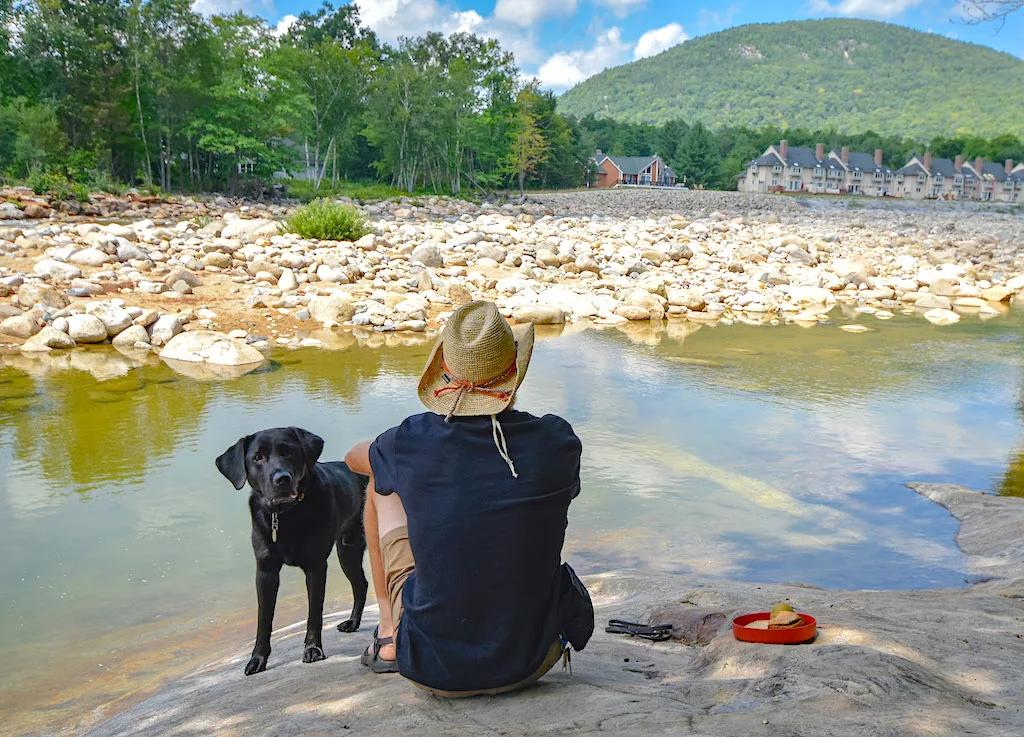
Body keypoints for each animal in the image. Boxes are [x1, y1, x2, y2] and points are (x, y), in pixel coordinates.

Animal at [215, 425, 368, 675]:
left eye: (289, 452)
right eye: (257, 457)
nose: (282, 479)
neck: (285, 515)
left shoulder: (316, 567)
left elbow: (314, 613)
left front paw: (313, 649)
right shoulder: (266, 572)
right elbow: (263, 619)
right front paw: (257, 659)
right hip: (348, 550)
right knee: (361, 584)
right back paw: (353, 623)